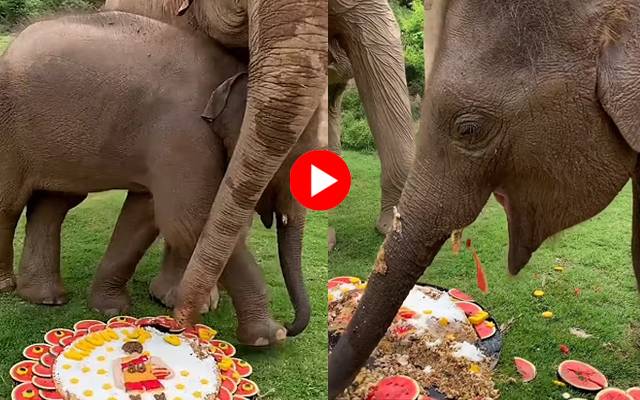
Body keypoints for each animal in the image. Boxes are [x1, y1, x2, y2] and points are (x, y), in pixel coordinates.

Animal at [0, 11, 320, 345]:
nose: (293, 326)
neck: (230, 70)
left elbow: (144, 215)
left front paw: (110, 308)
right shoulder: (182, 131)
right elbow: (187, 222)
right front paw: (269, 337)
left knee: (53, 204)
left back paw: (46, 298)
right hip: (9, 126)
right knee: (9, 204)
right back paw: (8, 286)